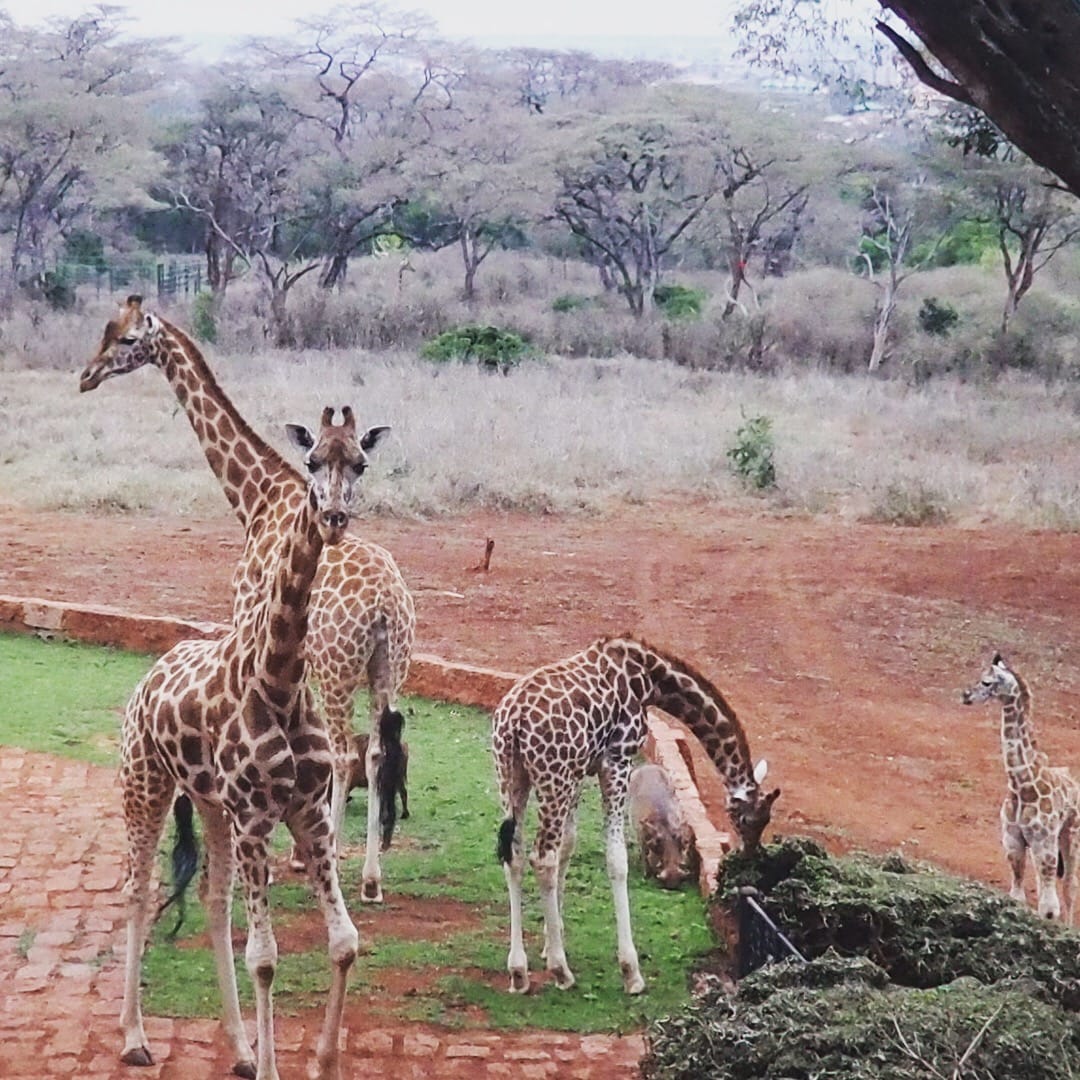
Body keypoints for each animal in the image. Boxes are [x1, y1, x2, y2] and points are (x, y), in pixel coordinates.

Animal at [78, 295, 416, 902]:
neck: (255, 500)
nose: (86, 376)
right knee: (378, 750)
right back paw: (371, 879)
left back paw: (329, 858)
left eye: (125, 340)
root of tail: (384, 608)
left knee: (346, 748)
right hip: (388, 668)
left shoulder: (248, 624)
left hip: (337, 671)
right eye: (106, 331)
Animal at [118, 406, 384, 1080]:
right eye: (311, 460)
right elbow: (264, 957)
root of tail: (149, 677)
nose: (333, 517)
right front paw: (272, 1067)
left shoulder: (307, 814)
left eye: (360, 463)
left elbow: (345, 943)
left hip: (212, 808)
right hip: (145, 786)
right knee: (138, 890)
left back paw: (238, 1050)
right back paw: (133, 1037)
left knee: (213, 903)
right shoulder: (259, 818)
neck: (279, 678)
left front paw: (323, 1061)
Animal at [494, 630, 781, 993]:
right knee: (541, 858)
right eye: (751, 820)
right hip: (551, 778)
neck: (650, 679)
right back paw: (561, 972)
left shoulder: (580, 768)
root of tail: (514, 722)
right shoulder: (616, 761)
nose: (750, 856)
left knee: (515, 857)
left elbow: (568, 846)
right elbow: (616, 860)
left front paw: (550, 941)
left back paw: (518, 972)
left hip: (512, 776)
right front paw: (630, 971)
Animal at [963, 652, 1080, 924]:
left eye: (986, 682)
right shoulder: (1013, 843)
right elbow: (1018, 897)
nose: (966, 695)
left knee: (1070, 886)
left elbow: (1048, 909)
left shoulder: (1044, 844)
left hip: (1070, 836)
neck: (1022, 785)